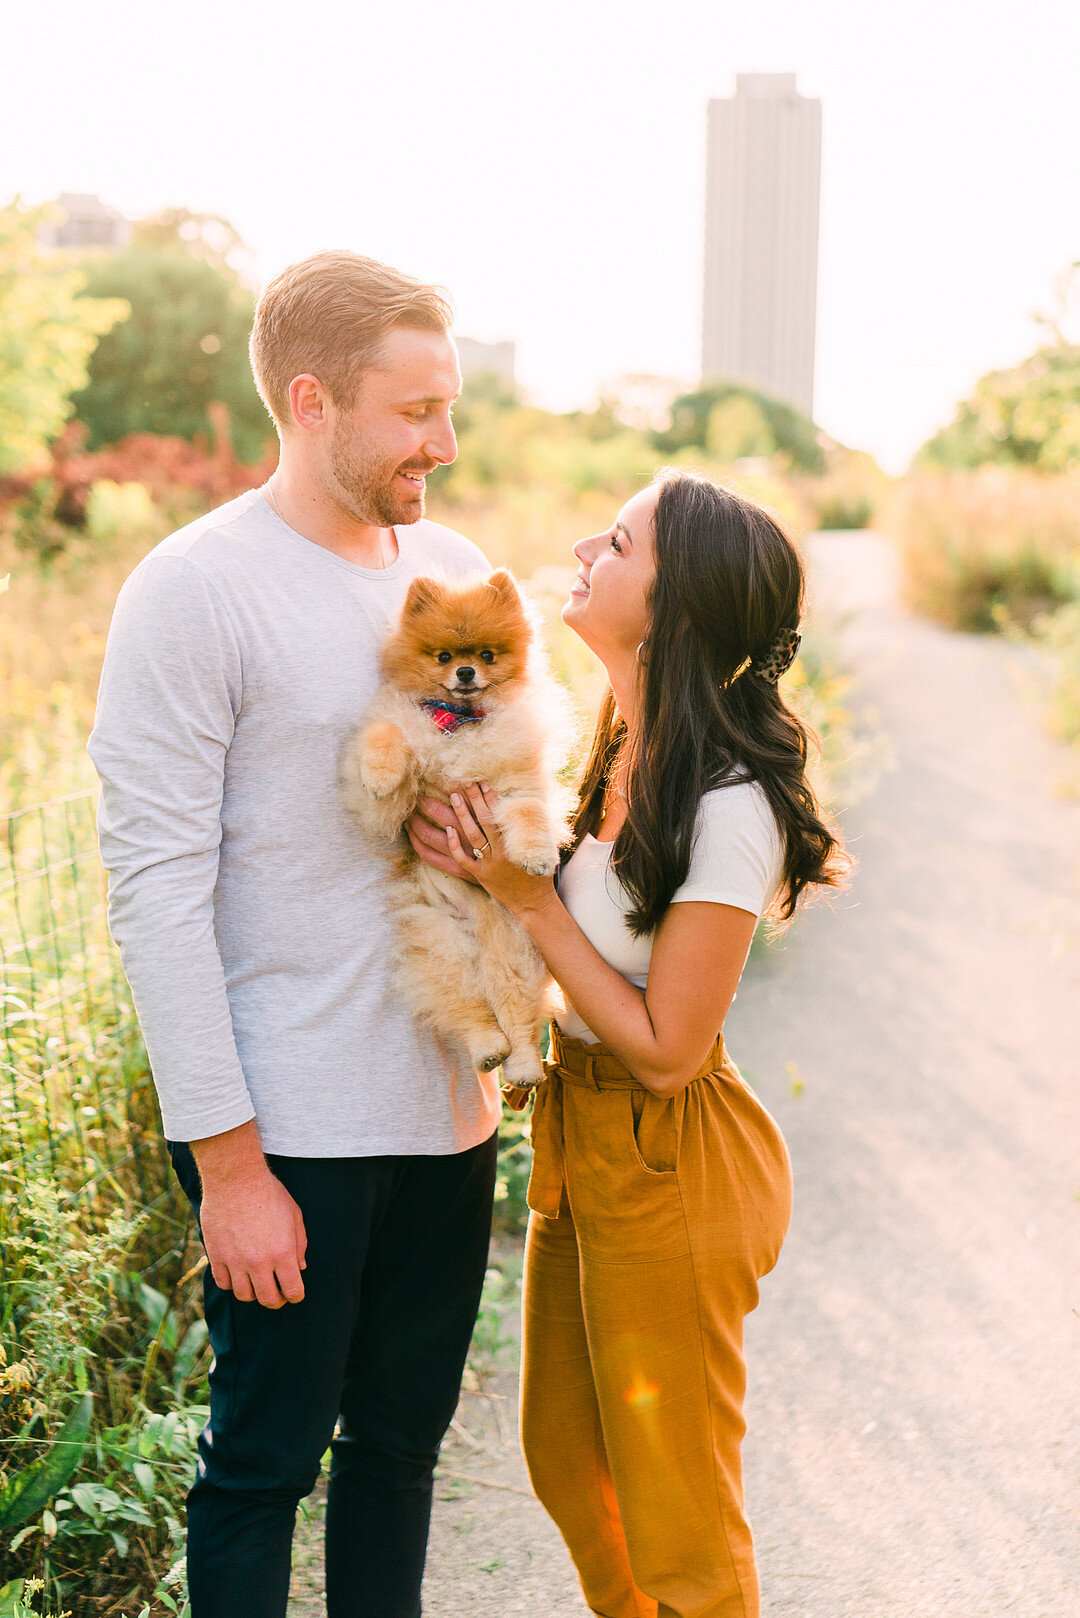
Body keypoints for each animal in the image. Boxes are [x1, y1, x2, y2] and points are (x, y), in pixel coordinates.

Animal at [340, 566, 573, 1087]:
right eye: (444, 657)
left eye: (487, 655)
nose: (466, 673)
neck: (462, 724)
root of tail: (478, 933)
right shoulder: (398, 807)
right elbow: (387, 737)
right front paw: (380, 775)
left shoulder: (515, 787)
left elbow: (529, 812)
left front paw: (536, 855)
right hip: (439, 944)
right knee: (472, 1011)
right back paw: (486, 1049)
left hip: (516, 951)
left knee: (518, 1019)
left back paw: (522, 1068)